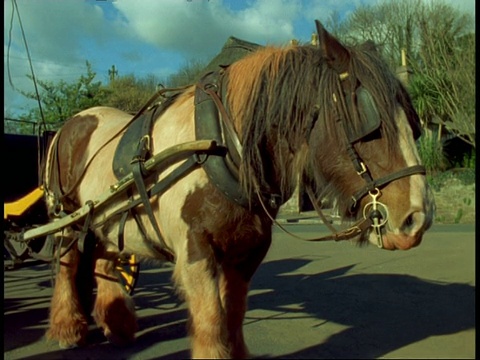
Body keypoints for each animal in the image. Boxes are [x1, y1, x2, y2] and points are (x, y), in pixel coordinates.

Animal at [43, 21, 436, 358]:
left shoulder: (247, 252)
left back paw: (118, 325)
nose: (417, 219)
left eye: (413, 122)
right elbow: (211, 321)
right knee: (69, 263)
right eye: (368, 123)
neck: (222, 144)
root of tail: (70, 124)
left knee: (105, 260)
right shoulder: (196, 252)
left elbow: (233, 315)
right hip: (67, 219)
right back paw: (68, 329)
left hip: (106, 222)